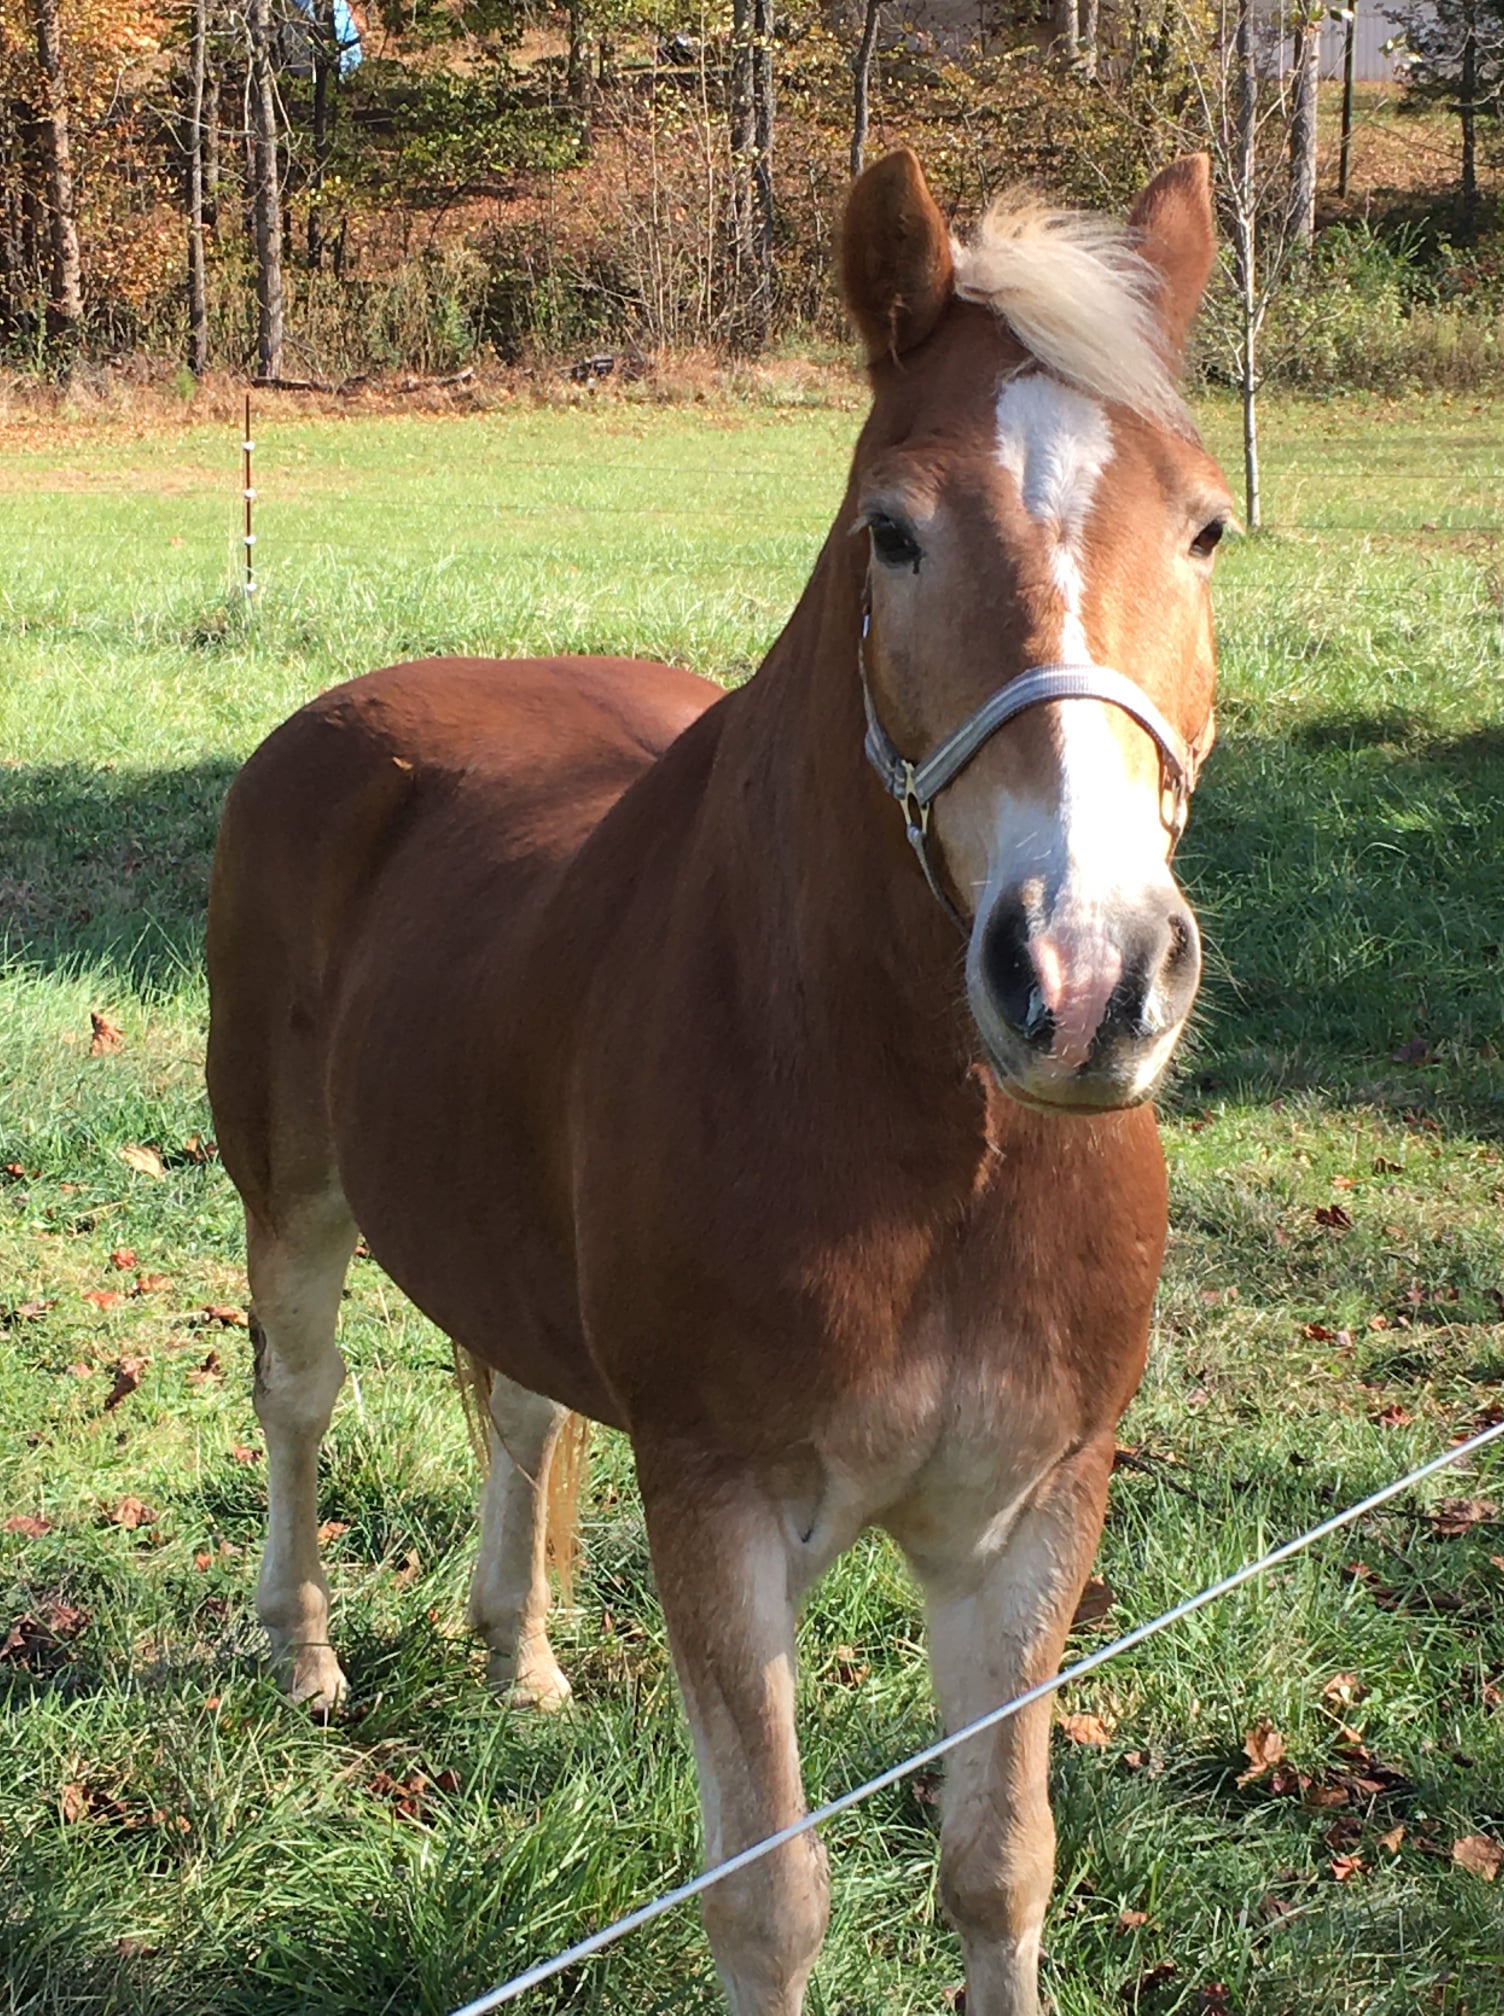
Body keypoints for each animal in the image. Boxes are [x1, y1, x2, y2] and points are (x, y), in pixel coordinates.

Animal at [202, 153, 1233, 2016]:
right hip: (291, 1201)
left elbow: (1000, 1865)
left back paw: (519, 1656)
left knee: (523, 1410)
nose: (1082, 984)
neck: (940, 1156)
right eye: (891, 531)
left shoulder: (1024, 1519)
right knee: (300, 1401)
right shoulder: (722, 1513)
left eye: (1202, 528)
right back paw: (304, 1657)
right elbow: (769, 1897)